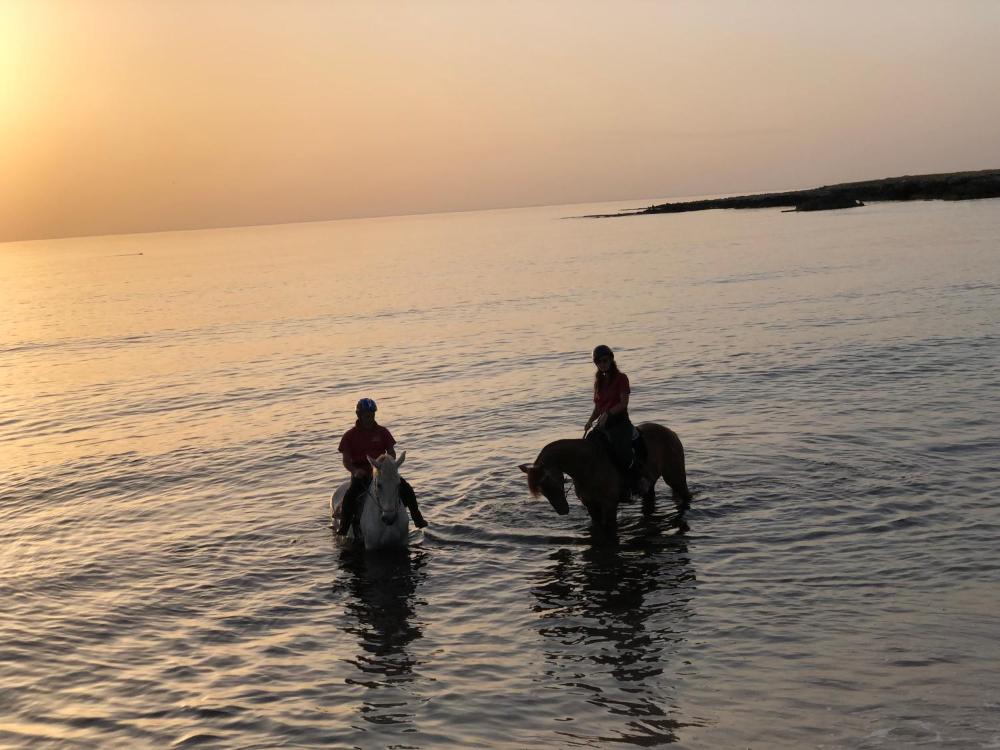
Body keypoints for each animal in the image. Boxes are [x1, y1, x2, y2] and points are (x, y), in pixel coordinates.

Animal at [520, 424, 692, 528]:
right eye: (542, 490)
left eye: (553, 482)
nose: (563, 510)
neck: (587, 465)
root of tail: (670, 432)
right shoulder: (591, 505)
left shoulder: (609, 505)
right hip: (649, 486)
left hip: (675, 477)